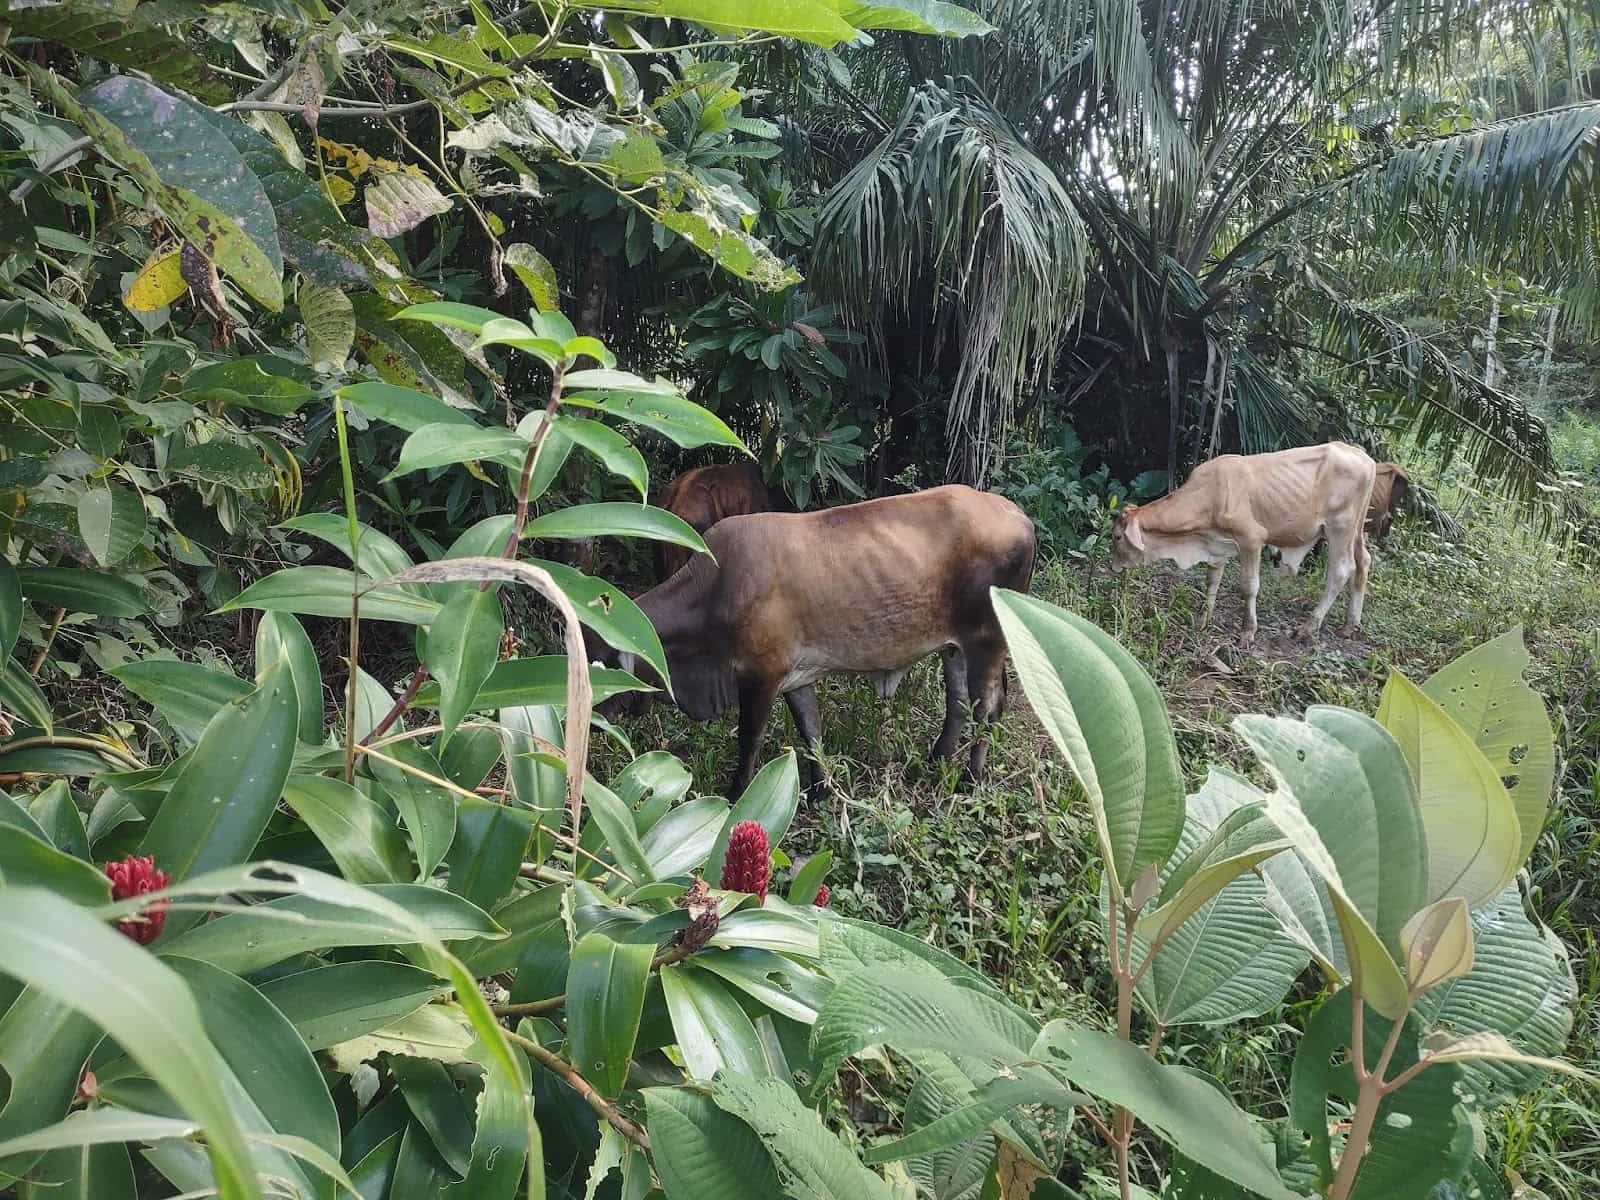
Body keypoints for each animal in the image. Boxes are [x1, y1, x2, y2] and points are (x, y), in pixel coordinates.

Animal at [593, 485, 1037, 799]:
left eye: (598, 662)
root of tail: (1017, 513)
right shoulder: (795, 676)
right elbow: (811, 731)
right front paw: (820, 790)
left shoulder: (760, 675)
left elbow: (749, 739)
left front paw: (737, 795)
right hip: (955, 648)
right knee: (959, 703)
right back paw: (937, 759)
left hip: (988, 642)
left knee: (988, 710)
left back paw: (970, 778)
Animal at [1109, 442, 1376, 646]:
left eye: (1118, 536)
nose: (1113, 568)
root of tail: (1362, 456)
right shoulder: (1217, 546)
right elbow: (1212, 582)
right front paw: (1203, 621)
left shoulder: (1251, 539)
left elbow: (1249, 586)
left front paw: (1248, 631)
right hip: (1356, 529)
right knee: (1363, 562)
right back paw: (1350, 625)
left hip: (1339, 527)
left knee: (1340, 571)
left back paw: (1308, 627)